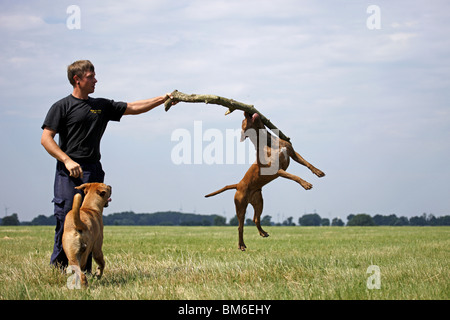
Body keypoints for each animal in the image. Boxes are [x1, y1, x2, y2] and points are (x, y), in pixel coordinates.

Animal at [206, 112, 326, 250]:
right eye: (243, 121)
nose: (245, 112)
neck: (267, 140)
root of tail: (238, 185)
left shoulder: (293, 153)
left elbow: (307, 163)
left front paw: (318, 171)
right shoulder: (278, 170)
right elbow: (294, 176)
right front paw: (305, 183)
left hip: (259, 202)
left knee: (255, 218)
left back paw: (262, 232)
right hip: (241, 206)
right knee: (240, 226)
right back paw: (241, 245)